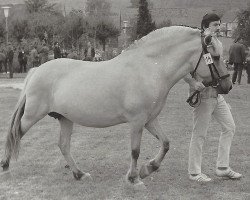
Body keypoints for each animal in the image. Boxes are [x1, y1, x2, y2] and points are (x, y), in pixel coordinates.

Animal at [0, 26, 230, 188]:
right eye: (216, 56)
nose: (227, 86)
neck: (149, 69)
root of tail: (37, 70)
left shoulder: (150, 120)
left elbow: (165, 143)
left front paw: (148, 169)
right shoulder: (137, 122)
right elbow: (135, 151)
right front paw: (134, 178)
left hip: (65, 119)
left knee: (63, 145)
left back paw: (79, 174)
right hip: (32, 115)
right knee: (15, 134)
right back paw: (5, 167)